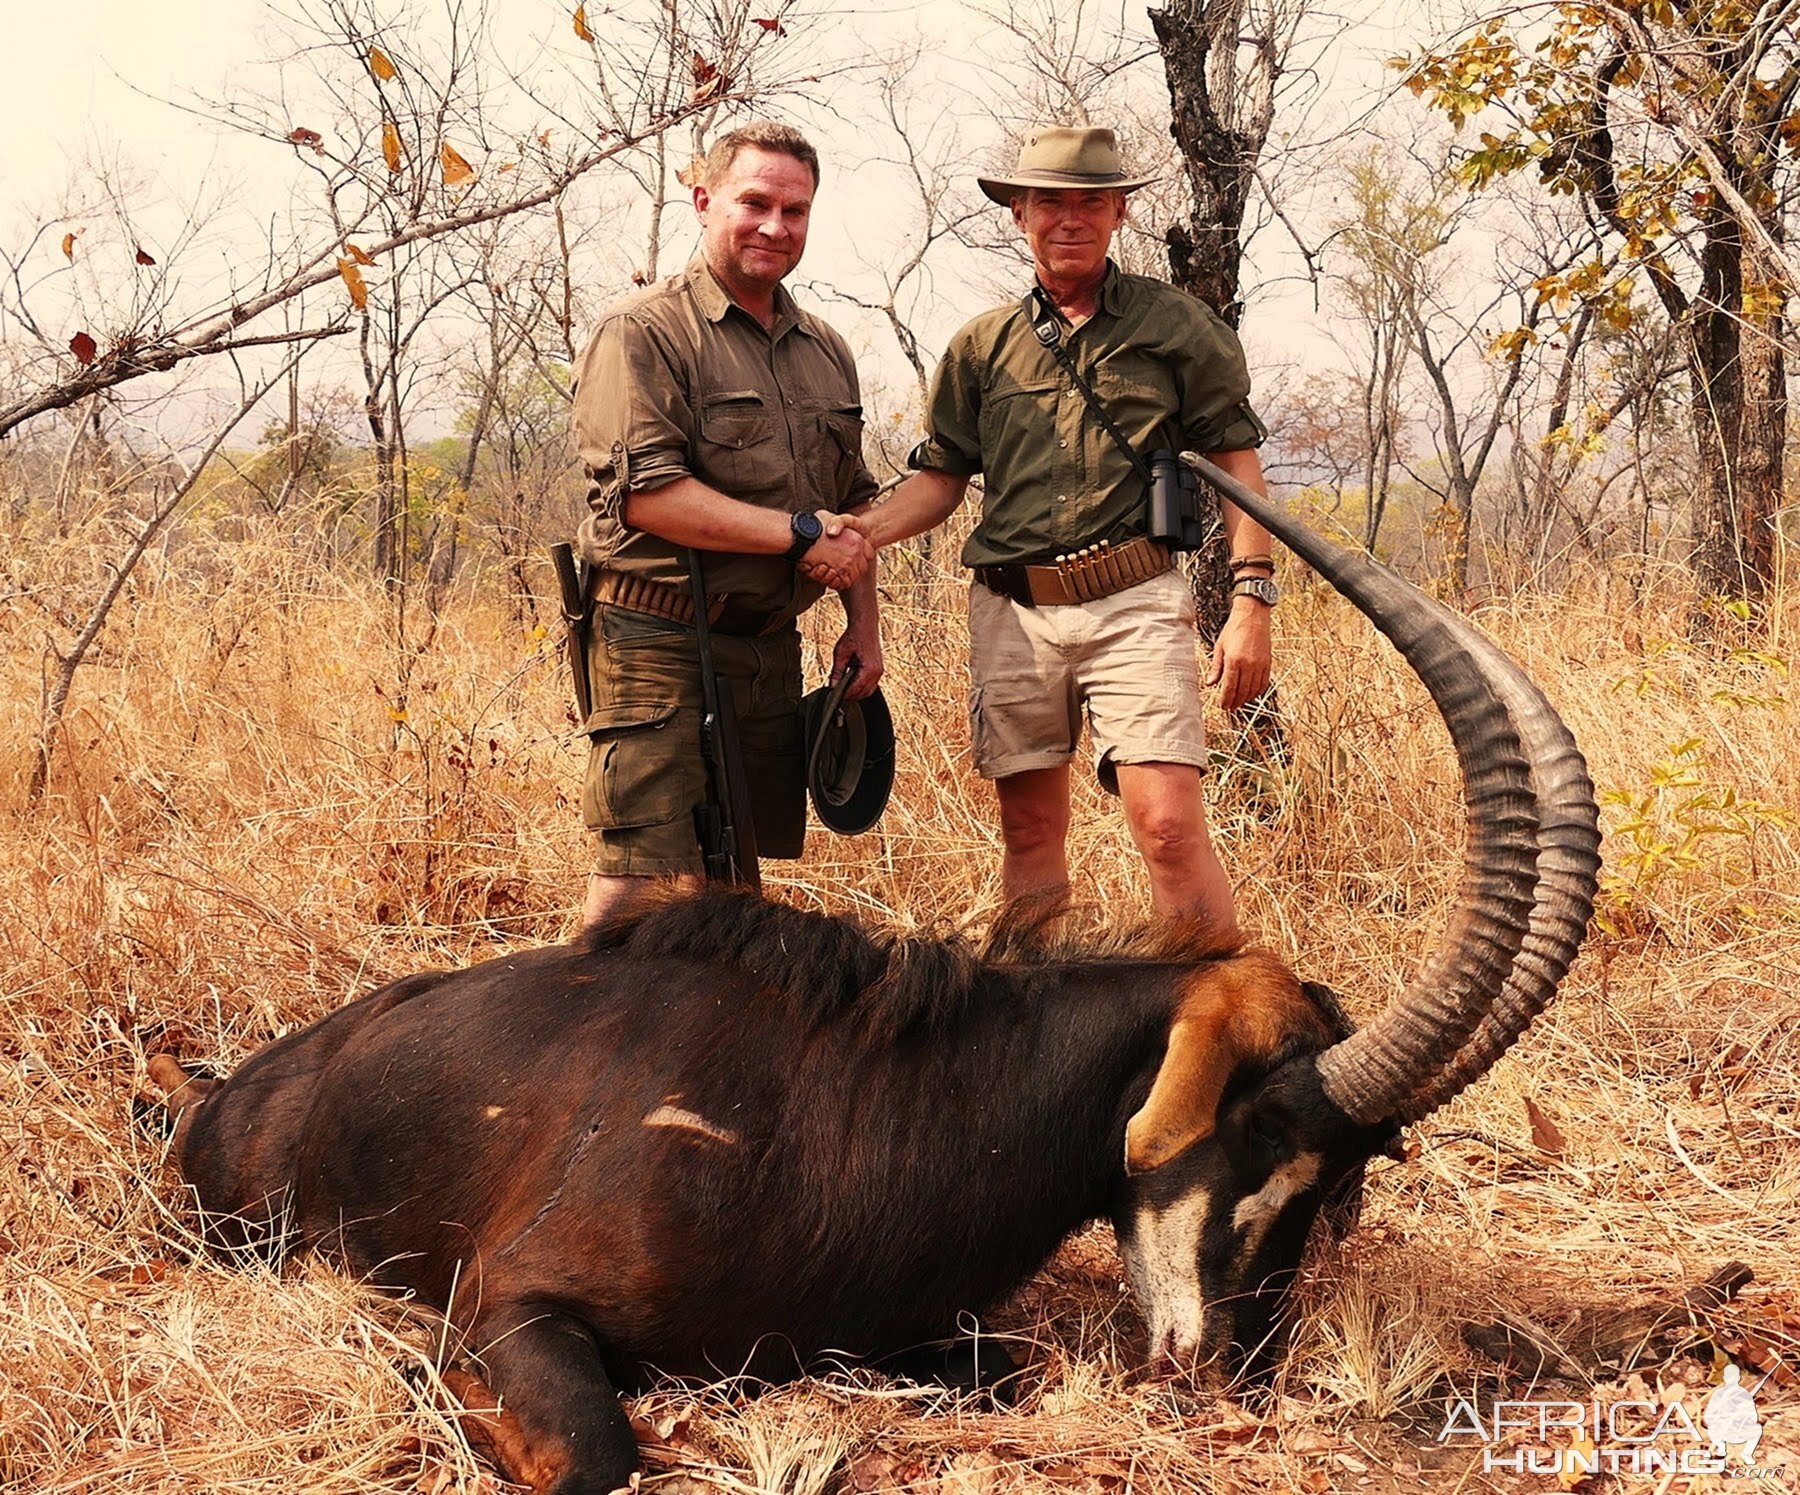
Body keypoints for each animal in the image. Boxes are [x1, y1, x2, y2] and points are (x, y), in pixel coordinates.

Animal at [147, 467, 1598, 1495]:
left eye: (1340, 1186)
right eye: (1258, 1134)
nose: (1233, 1374)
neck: (889, 1105)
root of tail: (222, 1091)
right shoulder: (513, 1300)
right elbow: (597, 1453)